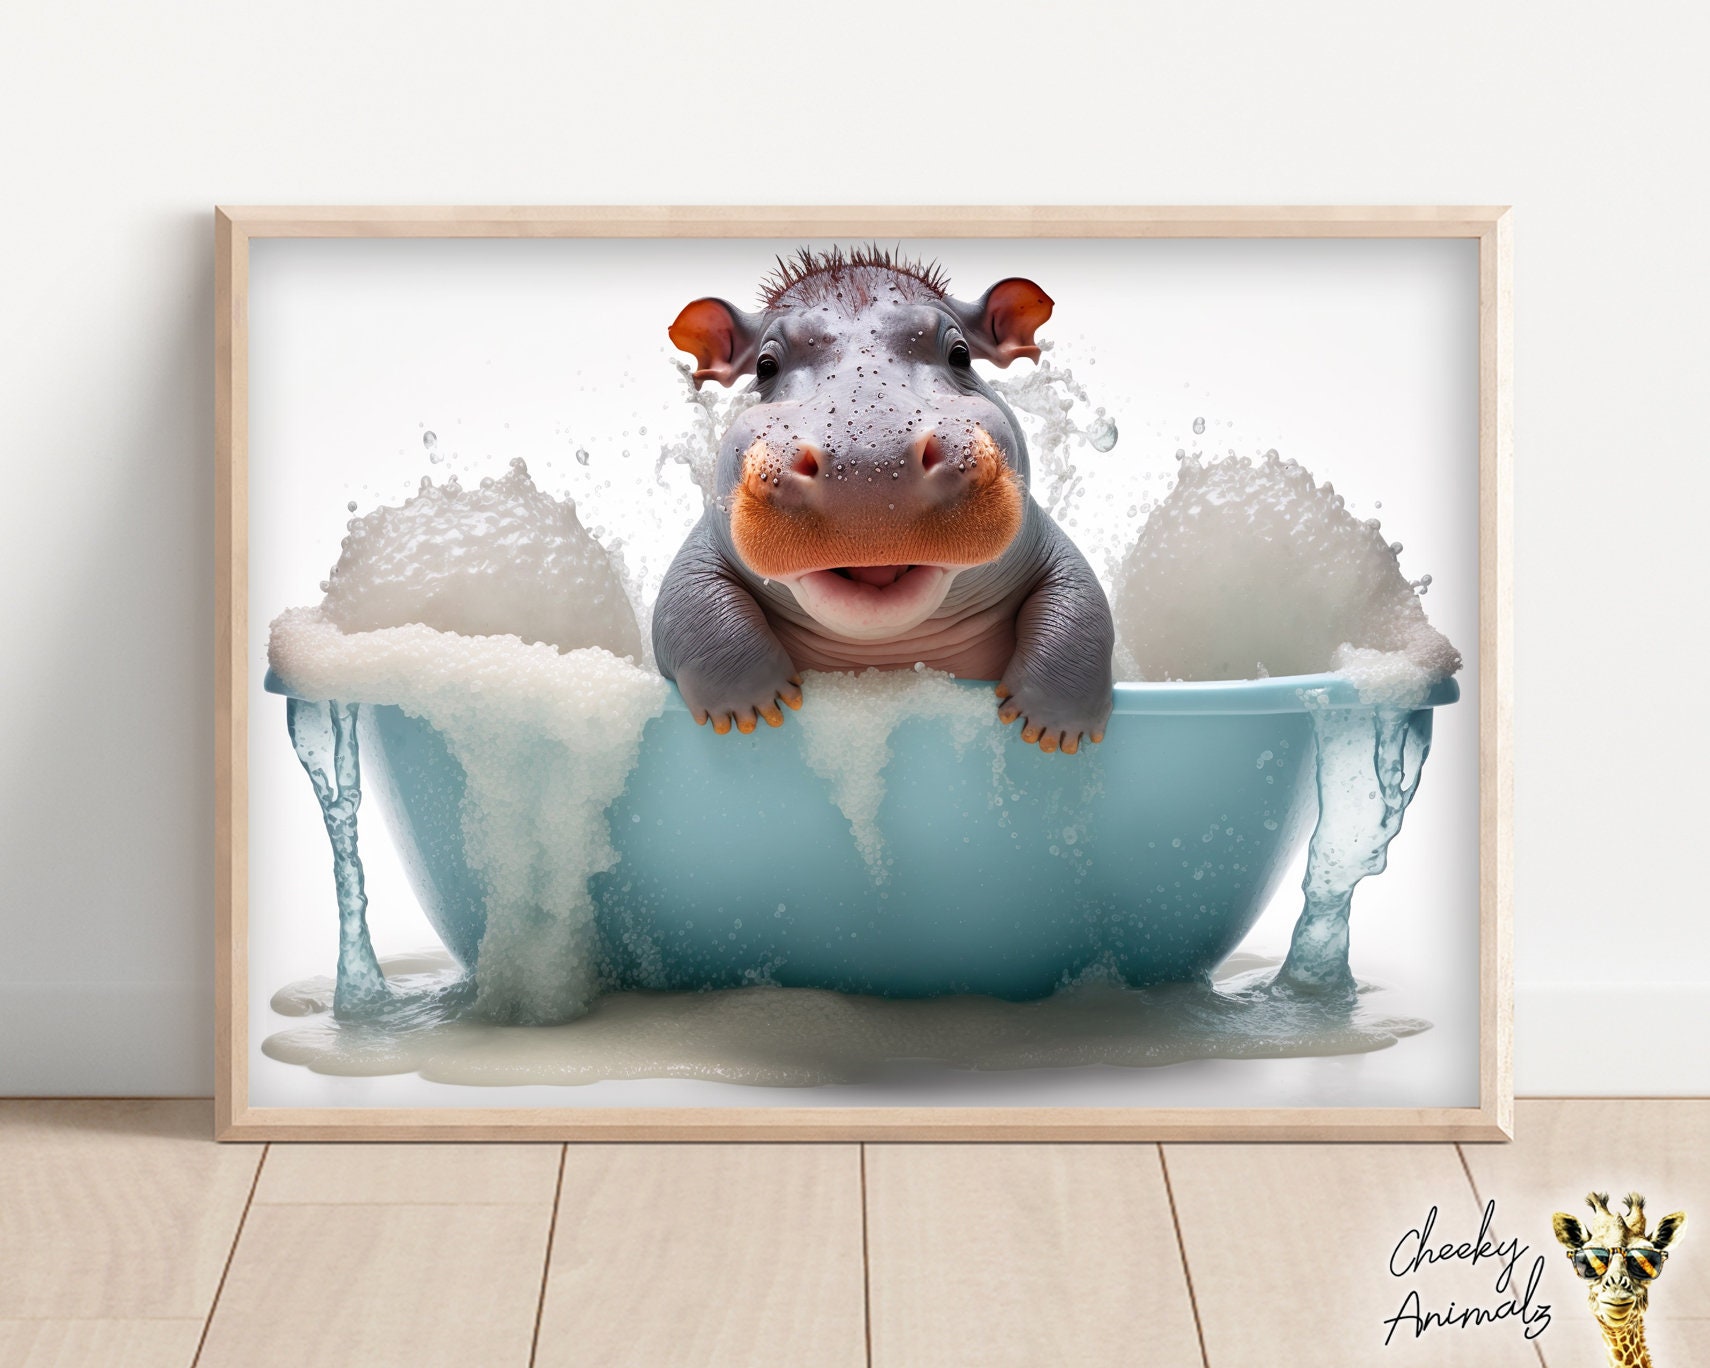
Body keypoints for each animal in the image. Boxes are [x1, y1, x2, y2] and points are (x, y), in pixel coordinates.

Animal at [653, 246, 1114, 754]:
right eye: (764, 366)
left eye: (960, 354)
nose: (869, 463)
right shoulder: (704, 548)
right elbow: (692, 605)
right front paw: (750, 710)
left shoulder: (1044, 542)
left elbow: (1078, 607)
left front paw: (1049, 729)